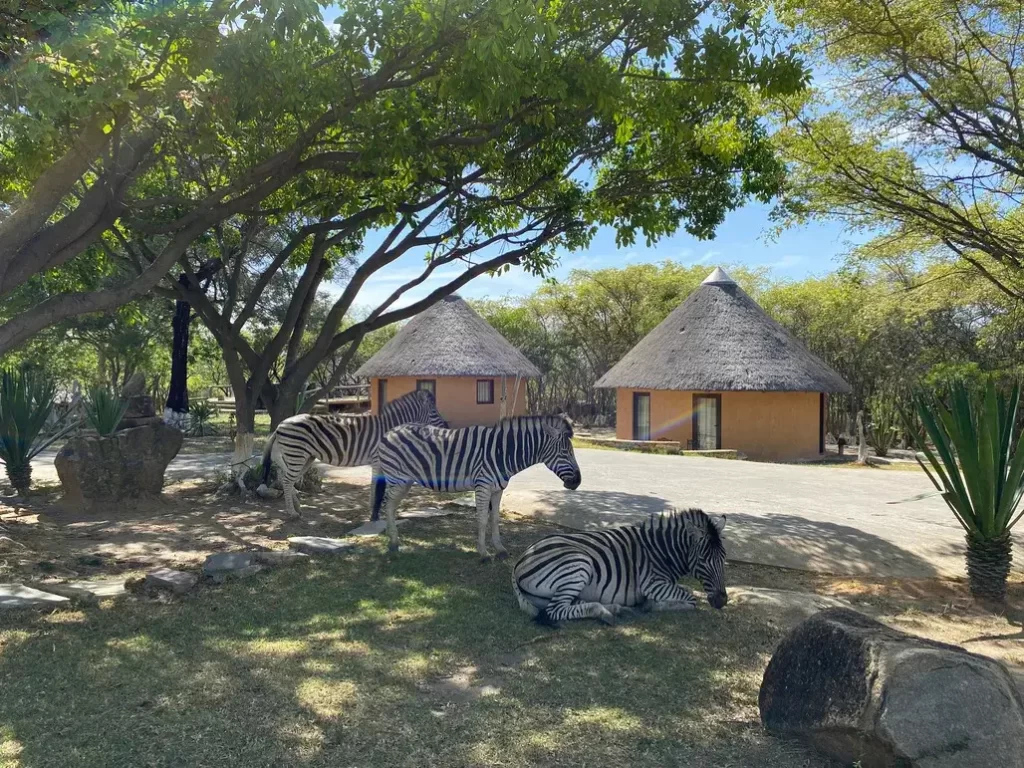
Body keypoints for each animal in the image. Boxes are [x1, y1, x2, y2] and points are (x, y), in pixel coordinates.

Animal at [258, 391, 446, 518]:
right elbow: (376, 484)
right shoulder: (379, 459)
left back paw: (296, 507)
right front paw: (376, 510)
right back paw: (292, 512)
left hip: (303, 457)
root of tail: (280, 425)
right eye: (434, 411)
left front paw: (375, 509)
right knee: (287, 480)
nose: (446, 425)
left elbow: (377, 484)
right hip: (297, 454)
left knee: (286, 477)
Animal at [370, 417, 581, 561]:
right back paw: (393, 542)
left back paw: (394, 540)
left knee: (392, 505)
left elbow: (495, 519)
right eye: (565, 452)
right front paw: (484, 553)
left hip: (405, 481)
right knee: (388, 504)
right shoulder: (483, 486)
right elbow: (482, 520)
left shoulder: (497, 490)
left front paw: (500, 549)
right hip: (397, 477)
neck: (503, 452)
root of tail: (389, 432)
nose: (578, 482)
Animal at [512, 512, 729, 626]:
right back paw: (606, 614)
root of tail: (520, 560)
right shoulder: (653, 584)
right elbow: (691, 599)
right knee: (555, 610)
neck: (662, 551)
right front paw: (651, 605)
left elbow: (689, 591)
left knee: (571, 603)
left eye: (723, 558)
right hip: (578, 564)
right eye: (703, 560)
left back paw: (613, 609)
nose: (722, 602)